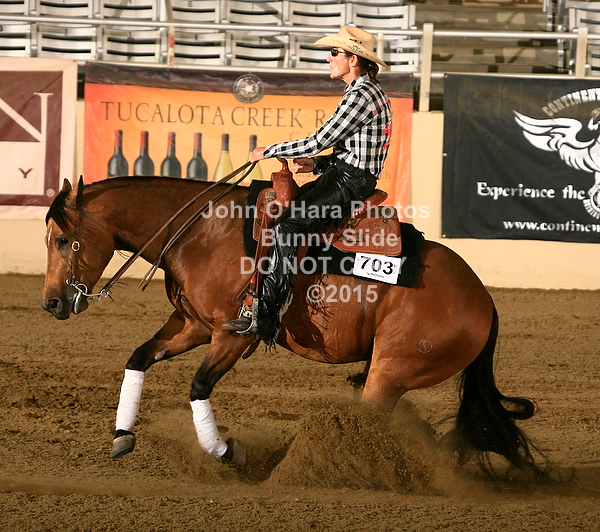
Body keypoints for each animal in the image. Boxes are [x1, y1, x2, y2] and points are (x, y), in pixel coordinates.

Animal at [41, 174, 546, 479]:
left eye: (63, 239)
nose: (51, 303)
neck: (201, 233)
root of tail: (483, 301)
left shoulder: (232, 335)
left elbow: (199, 387)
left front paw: (227, 452)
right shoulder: (192, 325)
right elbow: (139, 358)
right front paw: (122, 435)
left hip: (391, 371)